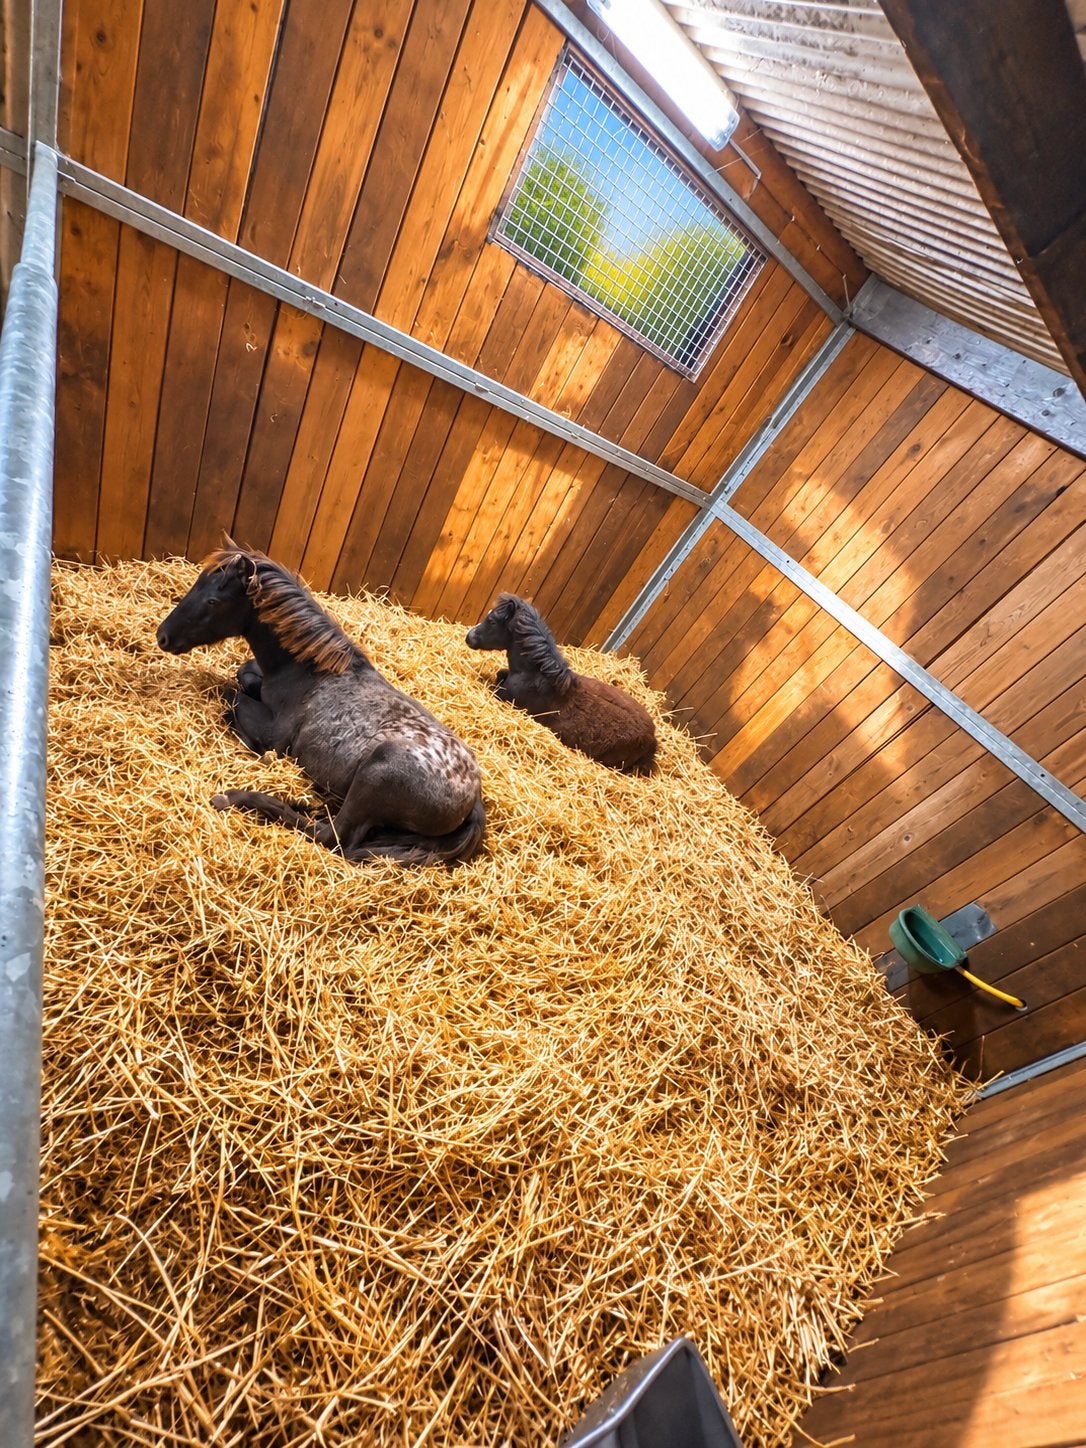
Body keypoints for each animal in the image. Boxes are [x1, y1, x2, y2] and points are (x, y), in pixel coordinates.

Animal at [156, 545, 486, 866]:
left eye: (213, 601)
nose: (163, 636)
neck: (312, 671)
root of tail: (473, 800)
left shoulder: (275, 733)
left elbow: (231, 695)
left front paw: (256, 749)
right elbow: (243, 675)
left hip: (373, 778)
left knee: (331, 835)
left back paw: (235, 797)